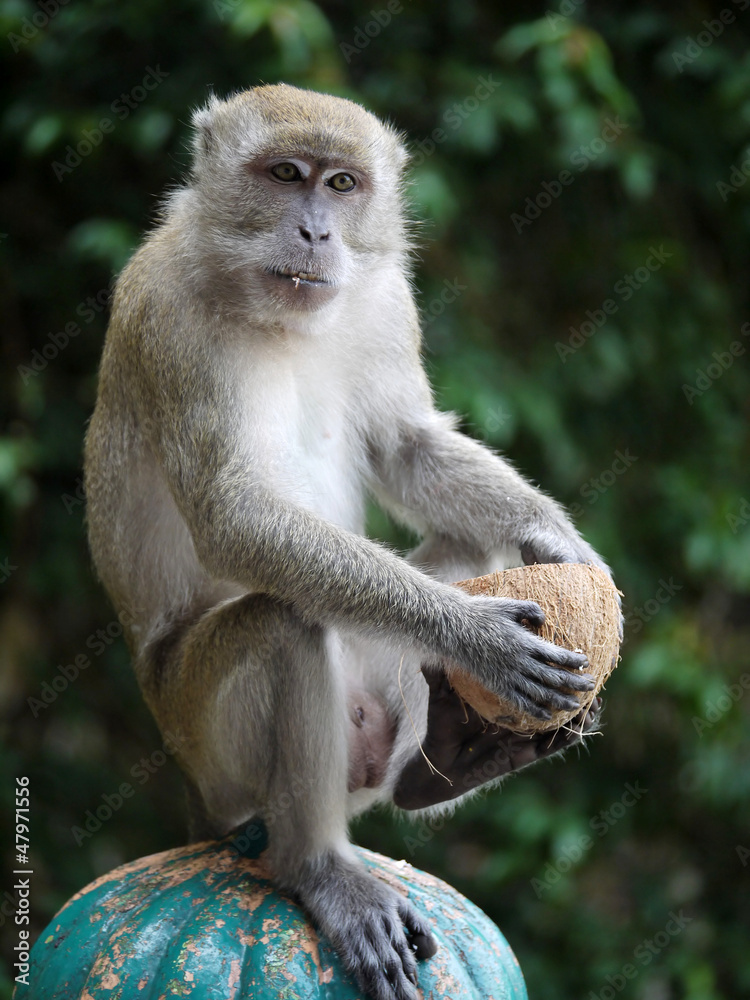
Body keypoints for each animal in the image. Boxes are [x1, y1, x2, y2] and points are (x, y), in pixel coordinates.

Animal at [82, 84, 612, 1000]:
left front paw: (556, 535)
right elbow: (234, 516)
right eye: (285, 176)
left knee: (469, 547)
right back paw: (318, 867)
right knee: (284, 623)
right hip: (207, 745)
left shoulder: (385, 297)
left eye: (341, 185)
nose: (315, 232)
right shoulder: (167, 312)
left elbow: (405, 444)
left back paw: (454, 752)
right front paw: (475, 636)